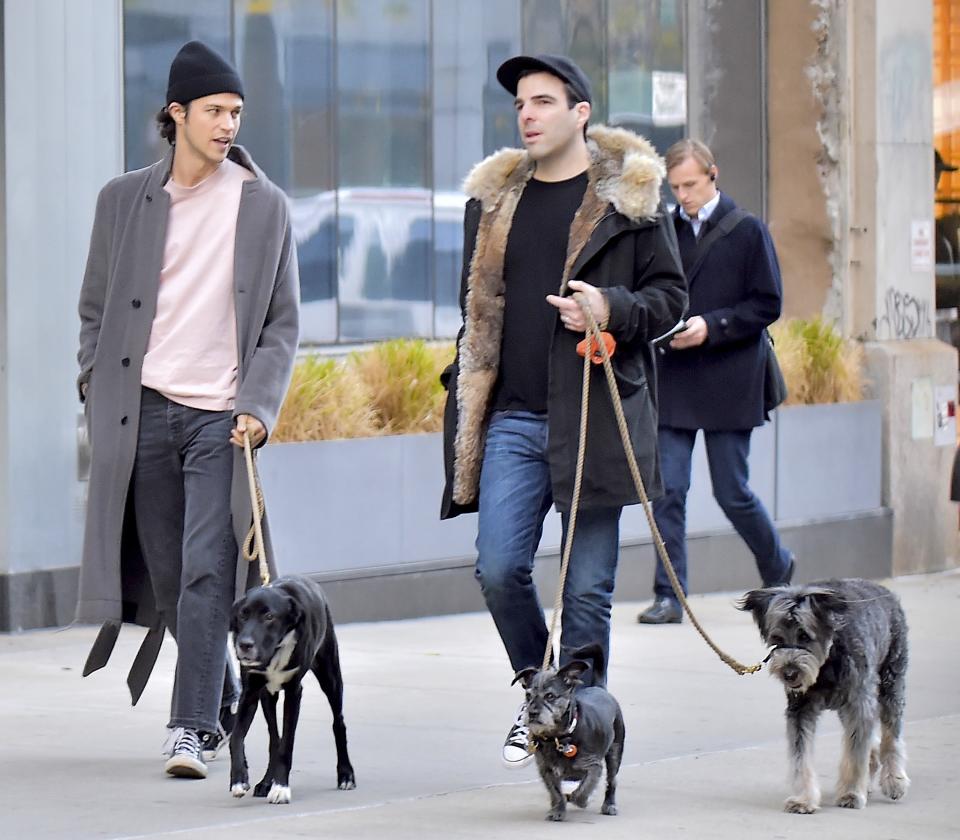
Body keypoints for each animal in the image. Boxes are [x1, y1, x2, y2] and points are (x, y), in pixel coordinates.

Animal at [230, 576, 356, 804]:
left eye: (269, 616)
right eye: (243, 614)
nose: (244, 645)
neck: (275, 649)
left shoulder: (294, 692)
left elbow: (287, 743)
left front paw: (281, 788)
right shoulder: (250, 692)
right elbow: (237, 737)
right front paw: (239, 780)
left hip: (330, 676)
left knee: (338, 722)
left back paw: (345, 774)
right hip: (267, 696)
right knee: (274, 738)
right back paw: (265, 783)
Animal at [512, 644, 628, 820]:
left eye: (550, 696)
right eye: (528, 695)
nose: (532, 713)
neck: (558, 738)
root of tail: (599, 687)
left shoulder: (594, 766)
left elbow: (585, 788)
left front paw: (581, 800)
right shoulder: (546, 770)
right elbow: (555, 792)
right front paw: (558, 810)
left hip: (615, 750)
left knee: (611, 780)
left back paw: (609, 804)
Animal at [740, 576, 912, 812]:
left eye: (805, 636)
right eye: (777, 638)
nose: (789, 674)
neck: (827, 662)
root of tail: (884, 590)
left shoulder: (859, 704)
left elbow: (855, 752)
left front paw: (851, 793)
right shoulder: (800, 710)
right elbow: (800, 756)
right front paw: (803, 799)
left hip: (891, 682)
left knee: (891, 736)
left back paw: (894, 780)